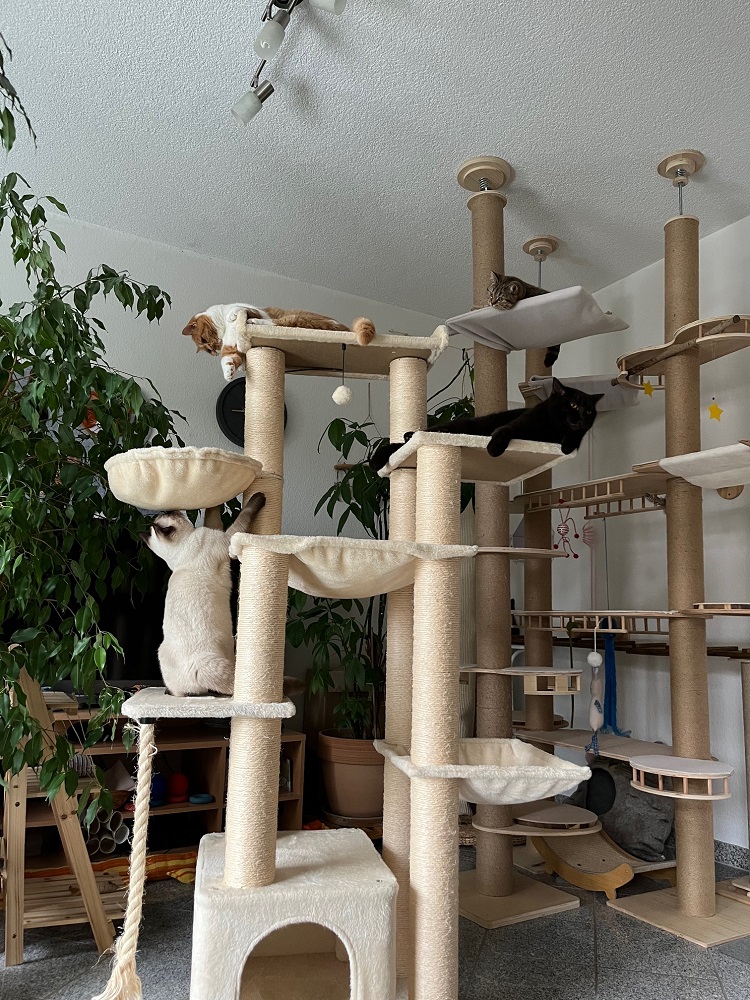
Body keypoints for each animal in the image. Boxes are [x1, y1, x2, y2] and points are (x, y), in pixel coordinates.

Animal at [143, 493, 266, 697]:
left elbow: (212, 513)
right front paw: (258, 497)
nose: (168, 509)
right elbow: (246, 513)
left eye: (167, 513)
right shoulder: (225, 539)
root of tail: (198, 667)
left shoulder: (215, 528)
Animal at [182, 304, 377, 382]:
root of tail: (343, 327)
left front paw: (234, 315)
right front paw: (228, 374)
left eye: (204, 340)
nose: (214, 350)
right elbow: (228, 360)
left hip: (296, 318)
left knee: (275, 323)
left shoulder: (251, 310)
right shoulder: (232, 349)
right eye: (208, 350)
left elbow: (239, 309)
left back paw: (253, 322)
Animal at [368, 378, 603, 470]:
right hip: (459, 428)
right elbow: (504, 432)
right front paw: (493, 449)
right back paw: (409, 435)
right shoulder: (516, 426)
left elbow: (573, 439)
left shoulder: (576, 434)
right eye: (573, 404)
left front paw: (566, 445)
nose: (583, 417)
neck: (554, 428)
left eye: (589, 410)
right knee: (421, 434)